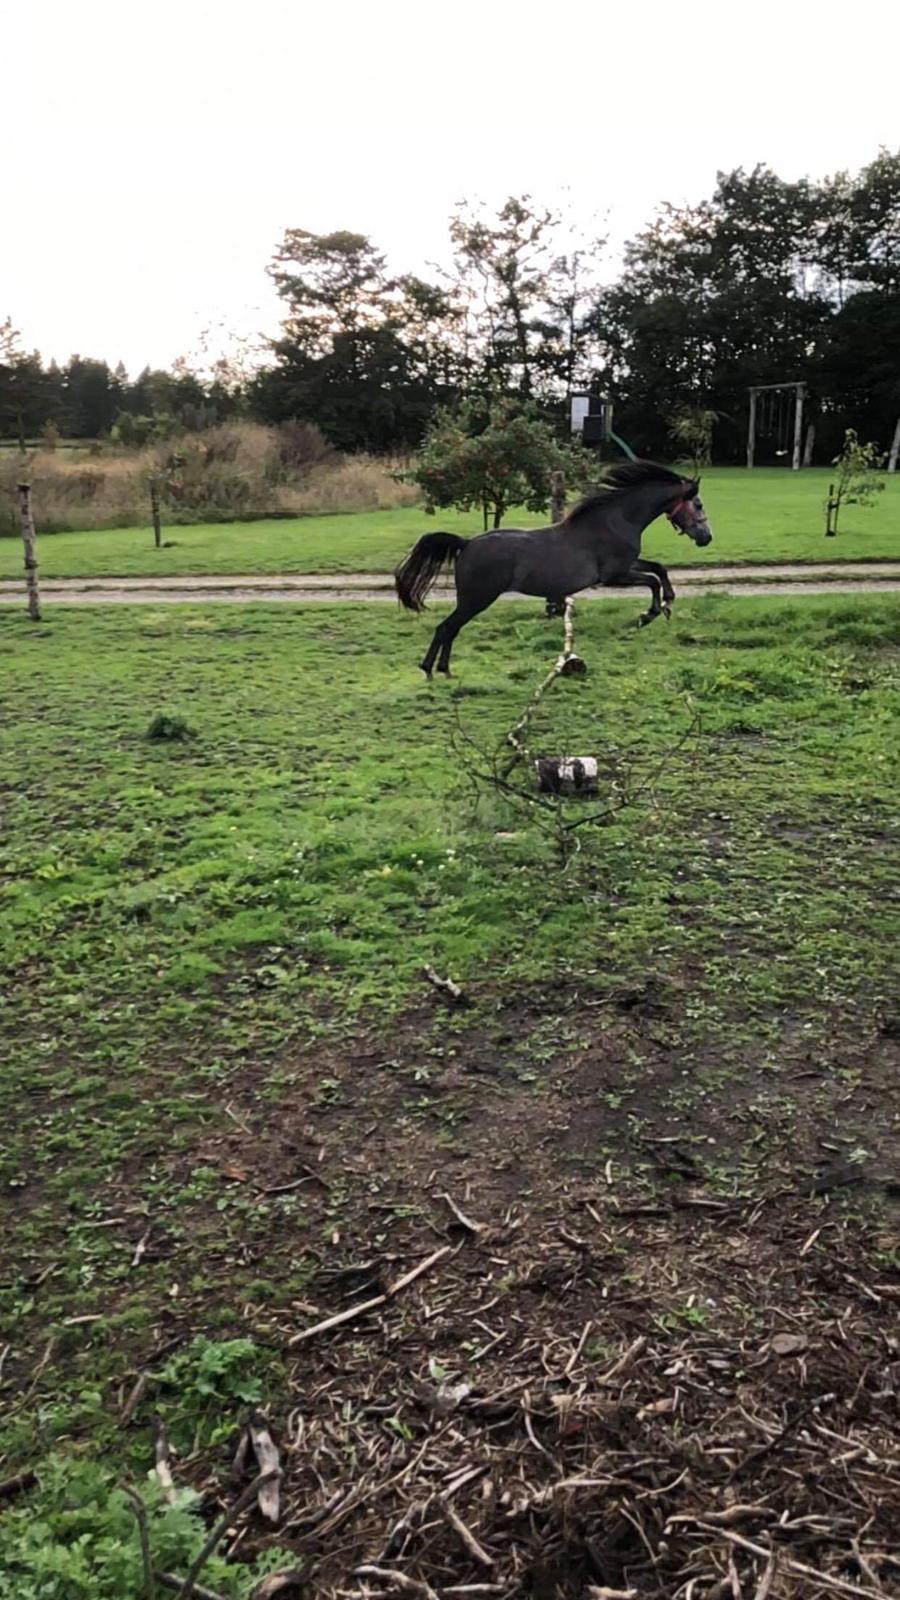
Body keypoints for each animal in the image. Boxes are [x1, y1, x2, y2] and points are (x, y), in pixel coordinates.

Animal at [394, 460, 713, 677]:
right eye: (698, 504)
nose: (706, 538)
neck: (615, 520)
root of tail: (468, 543)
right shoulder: (614, 575)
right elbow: (652, 580)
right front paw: (650, 614)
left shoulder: (628, 564)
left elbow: (659, 569)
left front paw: (666, 603)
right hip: (477, 599)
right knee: (446, 627)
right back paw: (431, 669)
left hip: (473, 600)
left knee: (451, 629)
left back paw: (443, 669)